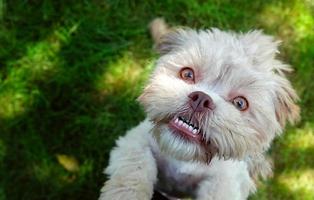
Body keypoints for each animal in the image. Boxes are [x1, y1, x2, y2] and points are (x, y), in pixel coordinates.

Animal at [98, 18, 300, 200]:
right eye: (187, 74)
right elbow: (133, 171)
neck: (182, 156)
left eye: (240, 103)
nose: (201, 99)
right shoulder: (135, 140)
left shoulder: (225, 179)